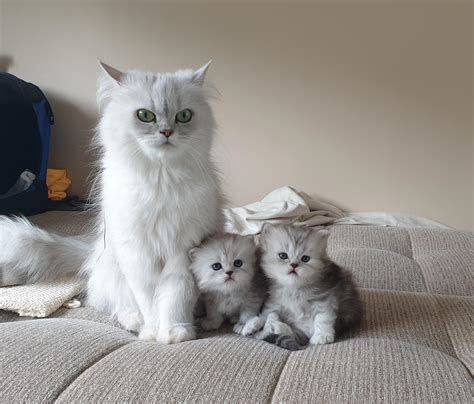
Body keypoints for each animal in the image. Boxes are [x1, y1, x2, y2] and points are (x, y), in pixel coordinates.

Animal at [0, 60, 224, 344]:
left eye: (184, 116)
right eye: (145, 115)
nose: (167, 132)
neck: (160, 180)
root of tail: (92, 252)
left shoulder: (183, 251)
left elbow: (176, 296)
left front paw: (175, 332)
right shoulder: (136, 254)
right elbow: (149, 300)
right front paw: (153, 332)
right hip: (113, 267)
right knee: (115, 303)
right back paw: (135, 321)